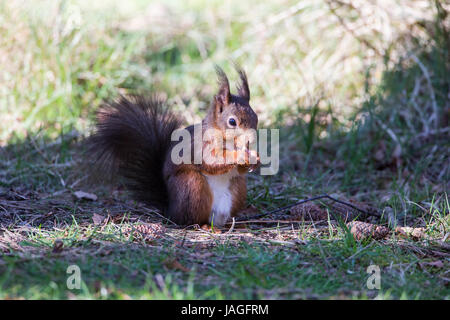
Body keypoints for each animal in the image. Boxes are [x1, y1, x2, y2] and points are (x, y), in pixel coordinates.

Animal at [87, 66, 260, 226]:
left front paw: (255, 158)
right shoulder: (200, 146)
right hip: (192, 187)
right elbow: (212, 160)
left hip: (238, 188)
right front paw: (241, 156)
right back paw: (203, 226)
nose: (252, 139)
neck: (228, 142)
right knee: (190, 220)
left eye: (256, 117)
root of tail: (170, 210)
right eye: (232, 121)